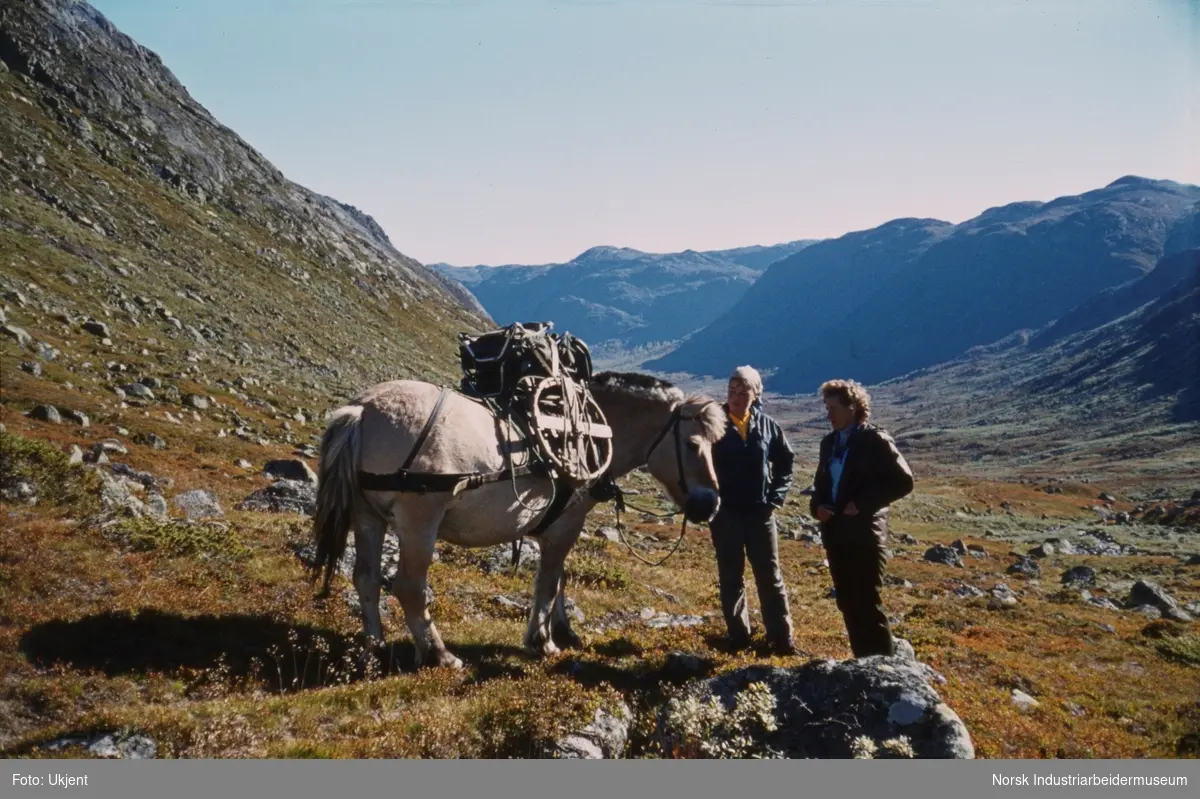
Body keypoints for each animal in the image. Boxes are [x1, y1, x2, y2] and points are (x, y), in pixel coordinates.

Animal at [307, 371, 720, 667]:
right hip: (419, 520)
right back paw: (440, 654)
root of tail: (362, 410)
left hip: (367, 517)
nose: (711, 505)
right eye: (693, 444)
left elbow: (559, 579)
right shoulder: (564, 527)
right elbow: (548, 583)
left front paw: (563, 631)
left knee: (366, 578)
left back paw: (374, 648)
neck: (586, 428)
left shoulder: (553, 529)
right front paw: (543, 642)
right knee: (409, 587)